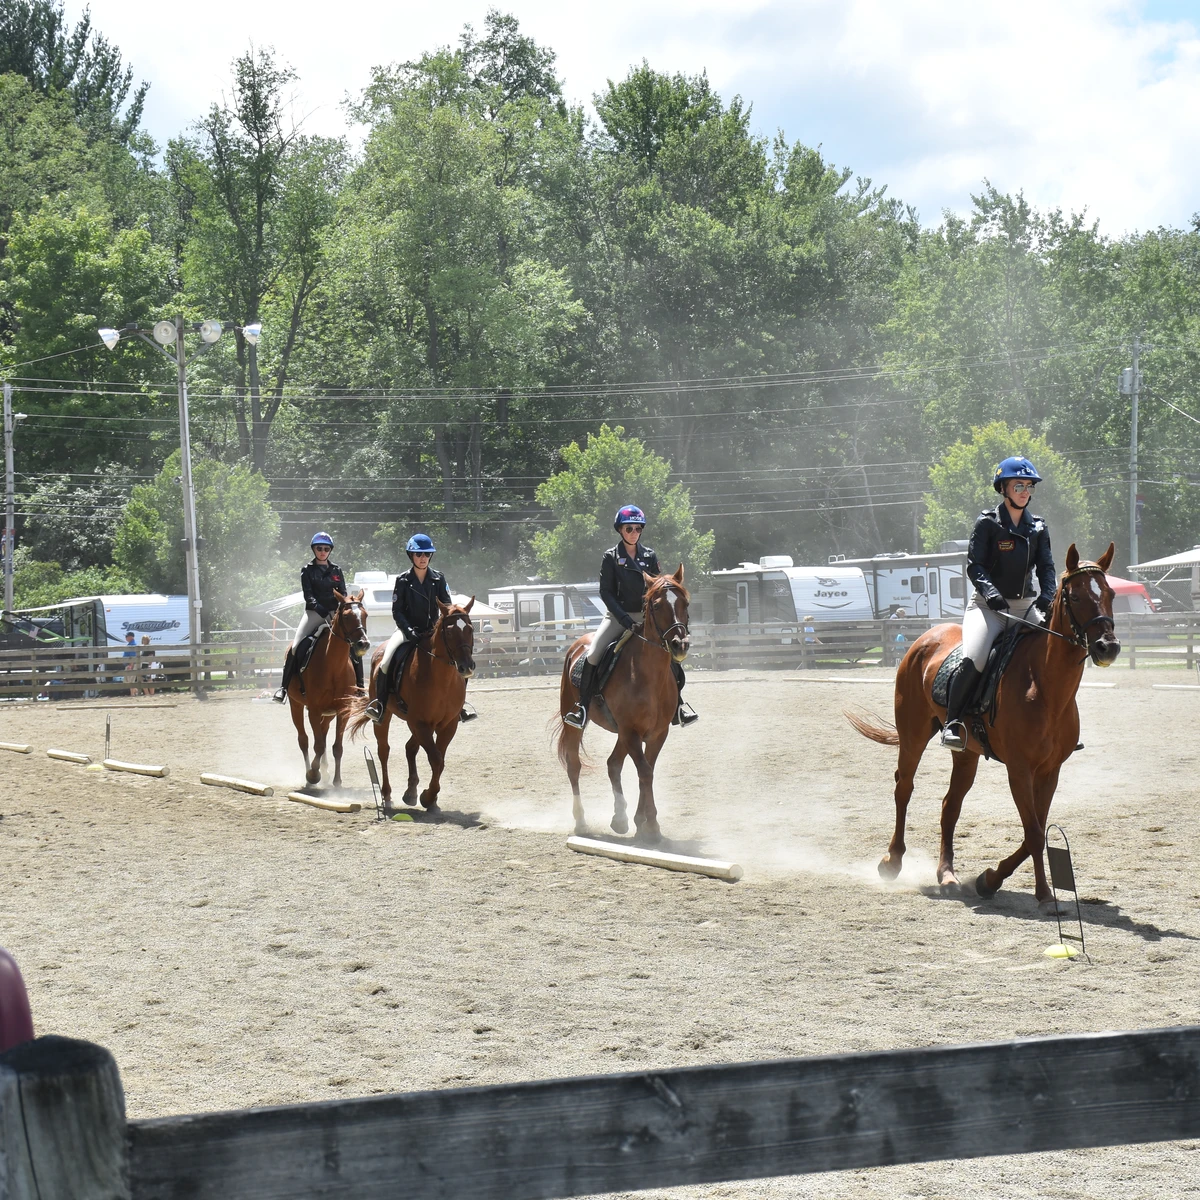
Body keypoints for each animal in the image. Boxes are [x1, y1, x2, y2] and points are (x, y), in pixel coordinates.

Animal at [286, 590, 371, 789]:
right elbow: (317, 745)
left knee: (322, 736)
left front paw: (337, 781)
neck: (333, 666)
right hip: (296, 705)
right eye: (346, 616)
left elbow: (336, 747)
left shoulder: (343, 711)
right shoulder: (314, 710)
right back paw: (311, 776)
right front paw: (312, 775)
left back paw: (325, 772)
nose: (363, 644)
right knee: (304, 740)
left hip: (329, 713)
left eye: (365, 615)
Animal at [347, 599, 476, 810]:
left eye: (470, 629)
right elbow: (436, 759)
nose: (467, 667)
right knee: (384, 751)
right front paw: (428, 797)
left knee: (410, 748)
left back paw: (410, 792)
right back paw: (387, 795)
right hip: (388, 717)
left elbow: (439, 759)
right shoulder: (420, 723)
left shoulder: (447, 725)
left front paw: (429, 798)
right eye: (449, 632)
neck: (441, 679)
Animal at [555, 566, 690, 844]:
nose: (680, 645)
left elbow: (646, 771)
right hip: (576, 723)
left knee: (613, 764)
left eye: (686, 603)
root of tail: (577, 645)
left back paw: (620, 819)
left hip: (623, 734)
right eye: (657, 605)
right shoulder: (631, 732)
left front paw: (642, 823)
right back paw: (581, 822)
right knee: (574, 766)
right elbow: (645, 772)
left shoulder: (656, 733)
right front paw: (652, 826)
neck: (649, 676)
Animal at [846, 544, 1121, 912]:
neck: (1045, 686)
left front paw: (989, 880)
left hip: (966, 754)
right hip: (913, 735)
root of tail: (925, 637)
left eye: (1111, 593)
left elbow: (1035, 830)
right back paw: (892, 862)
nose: (1108, 647)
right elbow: (1034, 832)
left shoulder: (1050, 771)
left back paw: (947, 877)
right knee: (904, 788)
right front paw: (1043, 895)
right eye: (1075, 596)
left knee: (950, 806)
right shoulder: (1019, 769)